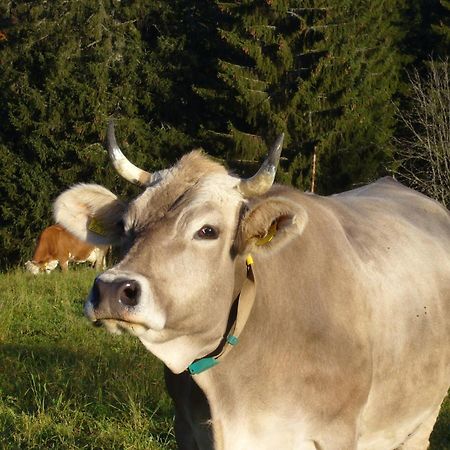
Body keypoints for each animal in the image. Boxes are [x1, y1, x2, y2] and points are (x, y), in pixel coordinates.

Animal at [53, 120, 450, 450]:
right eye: (125, 226)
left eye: (207, 230)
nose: (112, 290)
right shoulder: (187, 429)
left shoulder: (337, 433)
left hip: (422, 415)